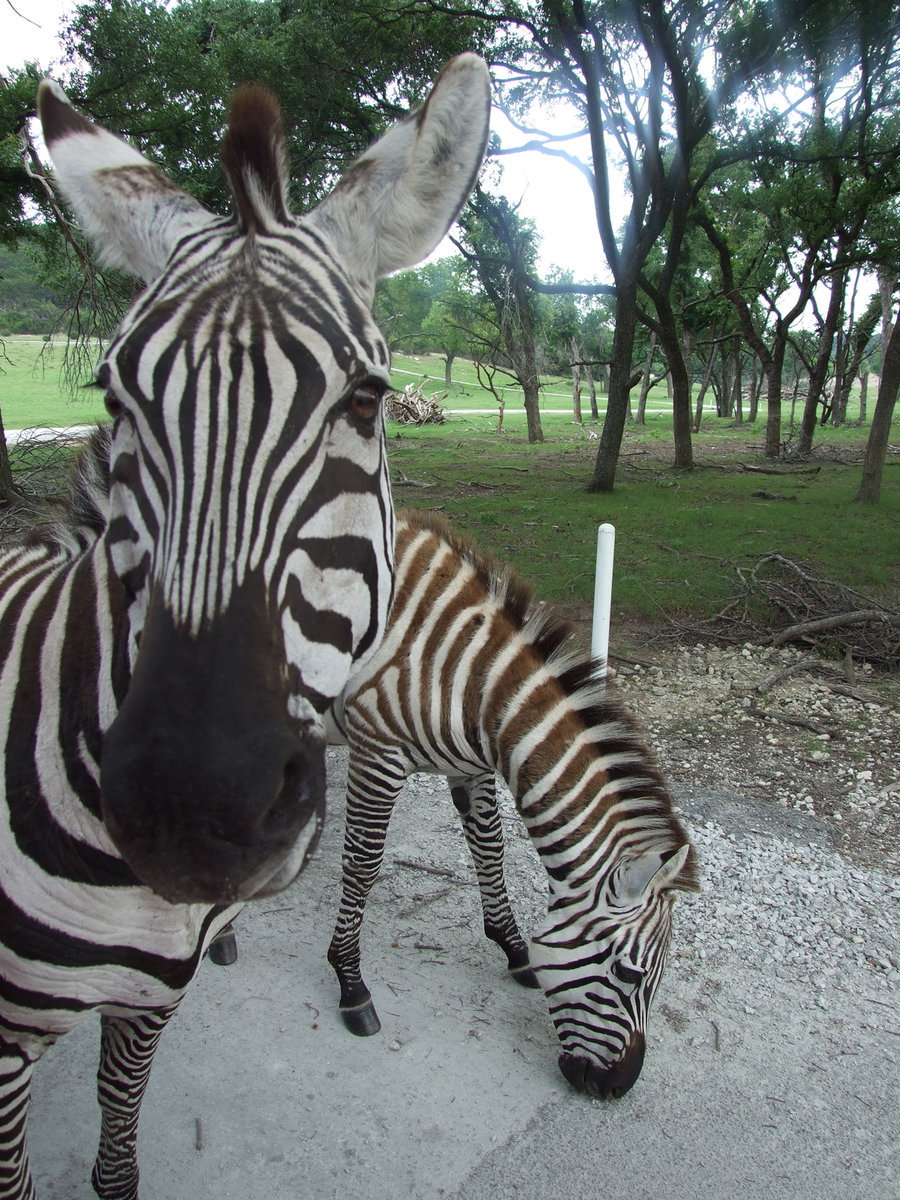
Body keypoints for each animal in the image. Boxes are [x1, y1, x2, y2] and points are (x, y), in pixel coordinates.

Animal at [326, 511, 705, 1099]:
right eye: (630, 975)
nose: (618, 1087)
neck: (469, 680)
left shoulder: (470, 766)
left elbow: (490, 851)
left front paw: (514, 949)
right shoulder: (376, 753)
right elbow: (363, 865)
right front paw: (349, 981)